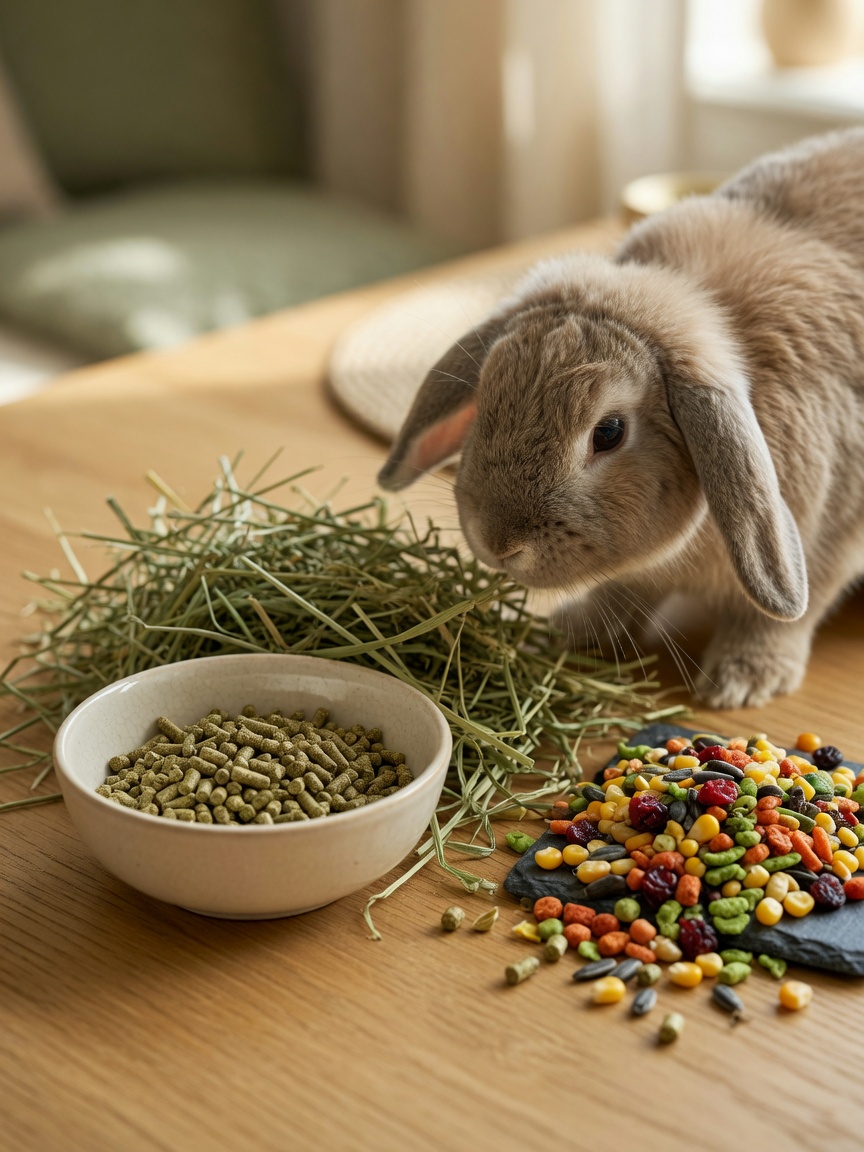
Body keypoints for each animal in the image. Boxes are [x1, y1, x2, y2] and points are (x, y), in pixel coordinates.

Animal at [377, 129, 864, 708]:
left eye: (608, 432)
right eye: (487, 397)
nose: (498, 544)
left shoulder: (833, 532)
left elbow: (783, 617)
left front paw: (741, 682)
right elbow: (630, 587)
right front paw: (575, 629)